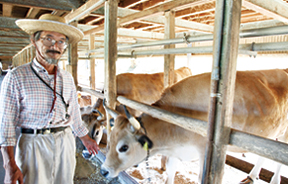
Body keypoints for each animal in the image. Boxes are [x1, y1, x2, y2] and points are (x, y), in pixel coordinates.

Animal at [100, 69, 288, 184]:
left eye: (123, 147)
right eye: (110, 139)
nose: (103, 171)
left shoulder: (206, 155)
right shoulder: (175, 150)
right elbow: (170, 171)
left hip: (284, 135)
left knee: (278, 162)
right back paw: (252, 175)